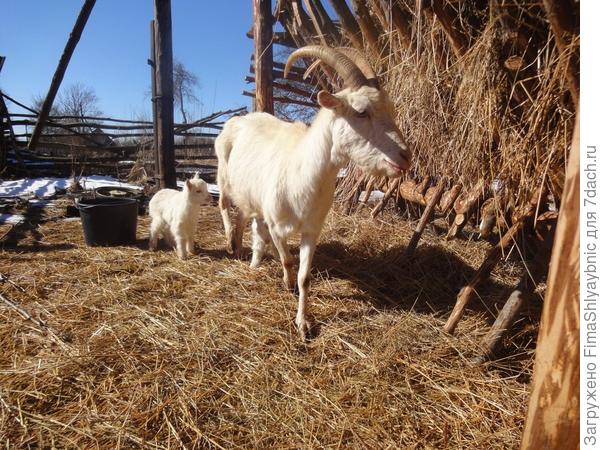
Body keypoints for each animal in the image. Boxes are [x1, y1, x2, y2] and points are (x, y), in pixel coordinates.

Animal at [217, 45, 412, 340]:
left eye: (390, 108)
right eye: (361, 111)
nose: (405, 156)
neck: (300, 173)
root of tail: (240, 119)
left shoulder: (312, 229)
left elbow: (305, 276)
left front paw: (304, 323)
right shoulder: (277, 225)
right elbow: (287, 260)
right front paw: (287, 284)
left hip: (251, 194)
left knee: (248, 220)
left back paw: (248, 255)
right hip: (223, 174)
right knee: (224, 204)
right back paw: (232, 243)